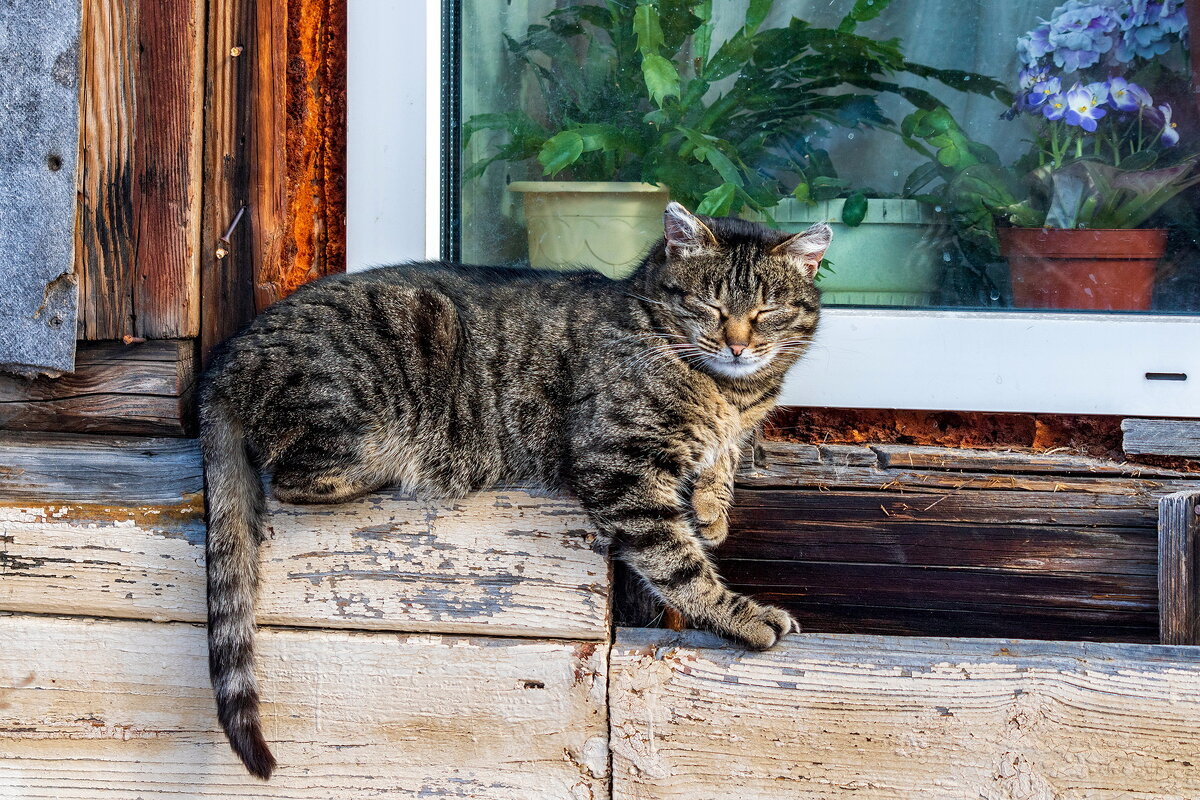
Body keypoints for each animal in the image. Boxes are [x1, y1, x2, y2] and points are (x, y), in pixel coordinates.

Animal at [199, 201, 835, 782]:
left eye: (768, 311)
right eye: (710, 305)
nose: (737, 345)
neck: (731, 392)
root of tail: (222, 362)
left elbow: (720, 463)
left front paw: (711, 508)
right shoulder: (619, 464)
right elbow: (679, 565)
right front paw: (742, 616)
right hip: (375, 385)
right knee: (295, 478)